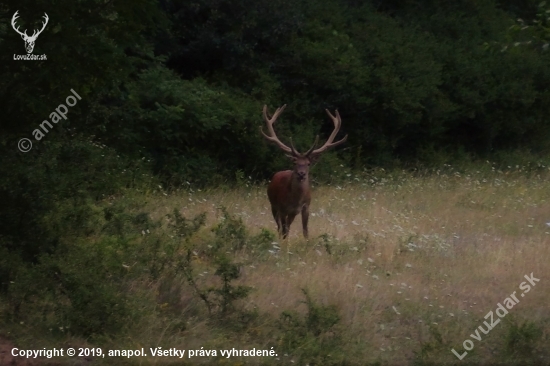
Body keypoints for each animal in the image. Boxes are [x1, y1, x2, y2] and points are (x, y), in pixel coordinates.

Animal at [264, 103, 350, 240]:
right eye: (295, 162)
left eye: (308, 163)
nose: (301, 173)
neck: (295, 200)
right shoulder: (282, 208)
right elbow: (284, 231)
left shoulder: (306, 207)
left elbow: (305, 231)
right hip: (273, 205)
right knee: (280, 228)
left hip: (291, 213)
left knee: (287, 226)